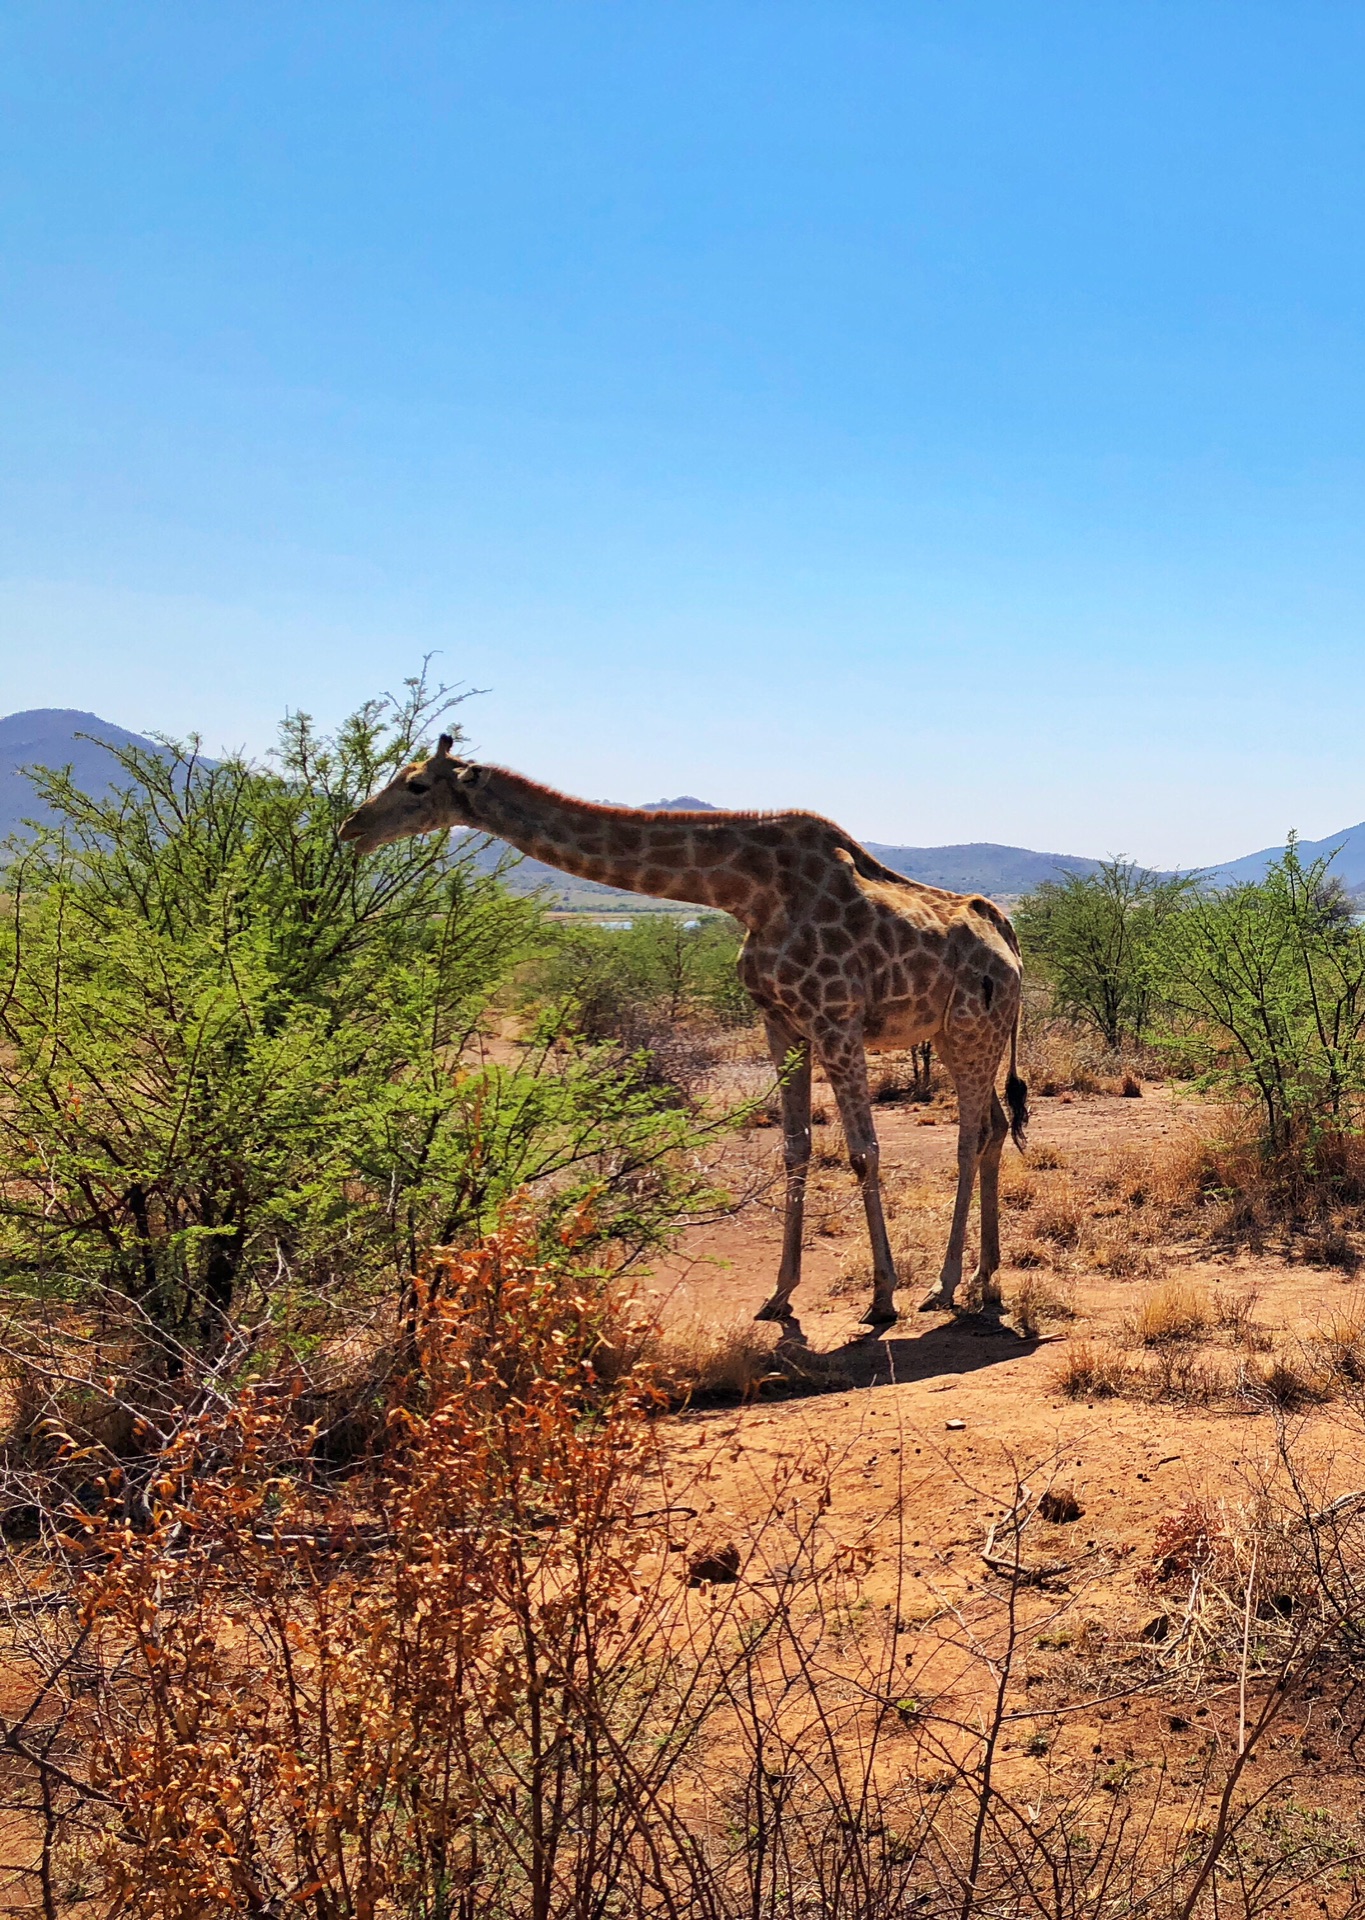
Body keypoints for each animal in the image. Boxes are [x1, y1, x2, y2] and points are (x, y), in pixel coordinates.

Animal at [339, 741, 1029, 1328]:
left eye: (417, 784)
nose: (352, 828)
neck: (746, 892)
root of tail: (1009, 937)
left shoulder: (836, 1019)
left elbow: (862, 1152)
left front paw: (882, 1297)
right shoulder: (782, 1024)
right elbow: (796, 1148)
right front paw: (779, 1295)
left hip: (973, 1030)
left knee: (969, 1137)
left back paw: (943, 1284)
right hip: (957, 1037)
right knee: (994, 1128)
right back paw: (986, 1279)